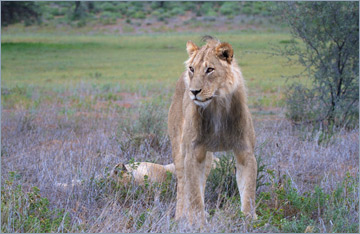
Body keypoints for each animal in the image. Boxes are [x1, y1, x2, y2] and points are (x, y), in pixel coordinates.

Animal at [167, 36, 258, 225]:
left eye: (210, 69)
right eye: (192, 69)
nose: (193, 91)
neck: (217, 105)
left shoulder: (245, 152)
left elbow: (249, 191)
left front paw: (248, 221)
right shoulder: (193, 153)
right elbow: (194, 195)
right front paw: (197, 223)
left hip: (208, 158)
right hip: (179, 150)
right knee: (183, 184)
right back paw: (180, 216)